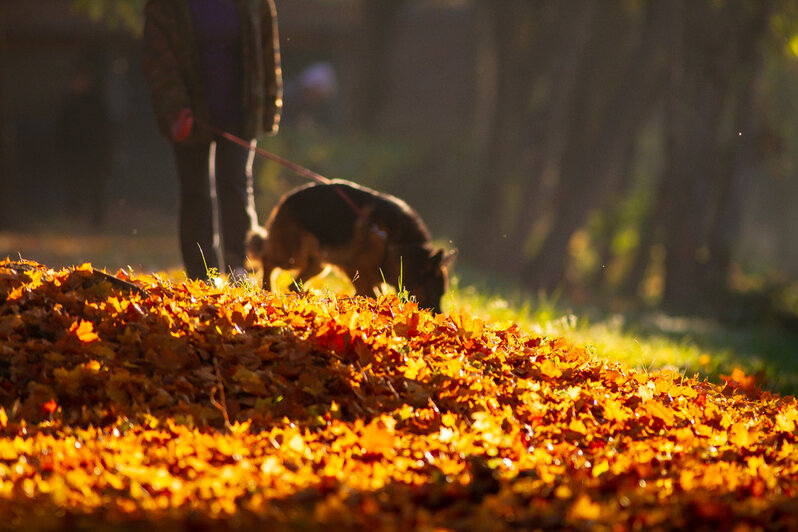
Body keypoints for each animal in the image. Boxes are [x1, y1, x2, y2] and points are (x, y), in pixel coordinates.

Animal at [244, 180, 456, 312]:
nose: (439, 315)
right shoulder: (356, 268)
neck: (395, 241)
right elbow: (372, 294)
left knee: (292, 284)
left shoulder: (368, 274)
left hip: (318, 265)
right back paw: (267, 288)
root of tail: (286, 198)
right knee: (267, 259)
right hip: (293, 257)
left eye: (442, 293)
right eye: (432, 291)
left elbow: (373, 294)